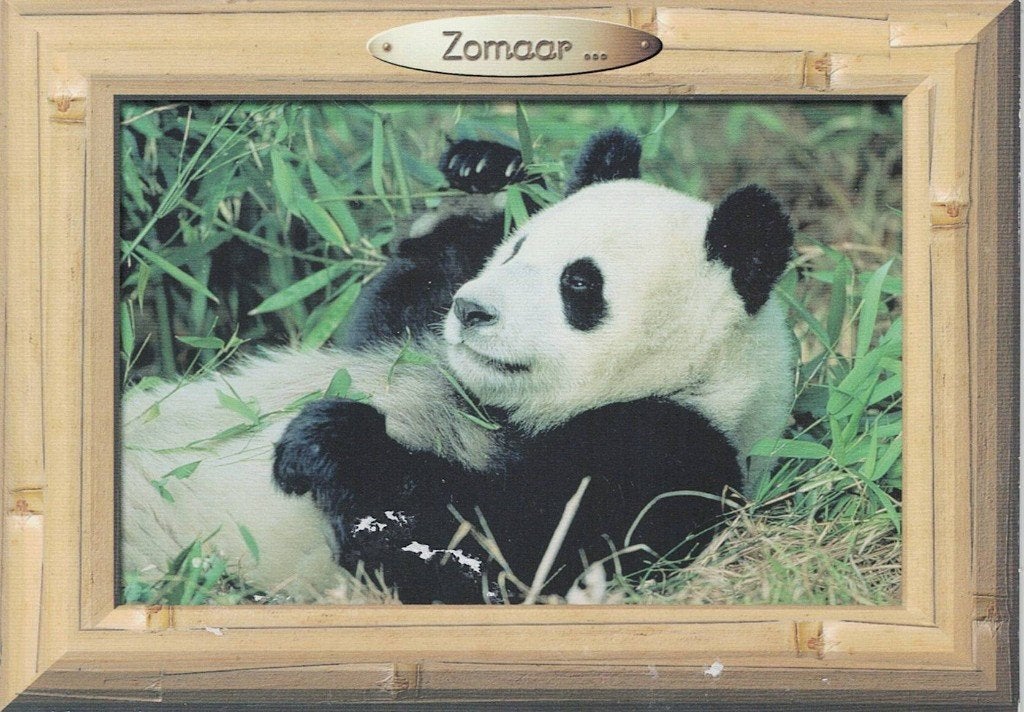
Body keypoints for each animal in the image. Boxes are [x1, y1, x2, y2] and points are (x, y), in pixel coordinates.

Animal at [120, 128, 794, 605]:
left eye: (578, 283)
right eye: (517, 250)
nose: (471, 310)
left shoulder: (675, 451)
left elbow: (510, 558)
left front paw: (334, 442)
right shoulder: (411, 342)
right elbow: (383, 311)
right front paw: (486, 172)